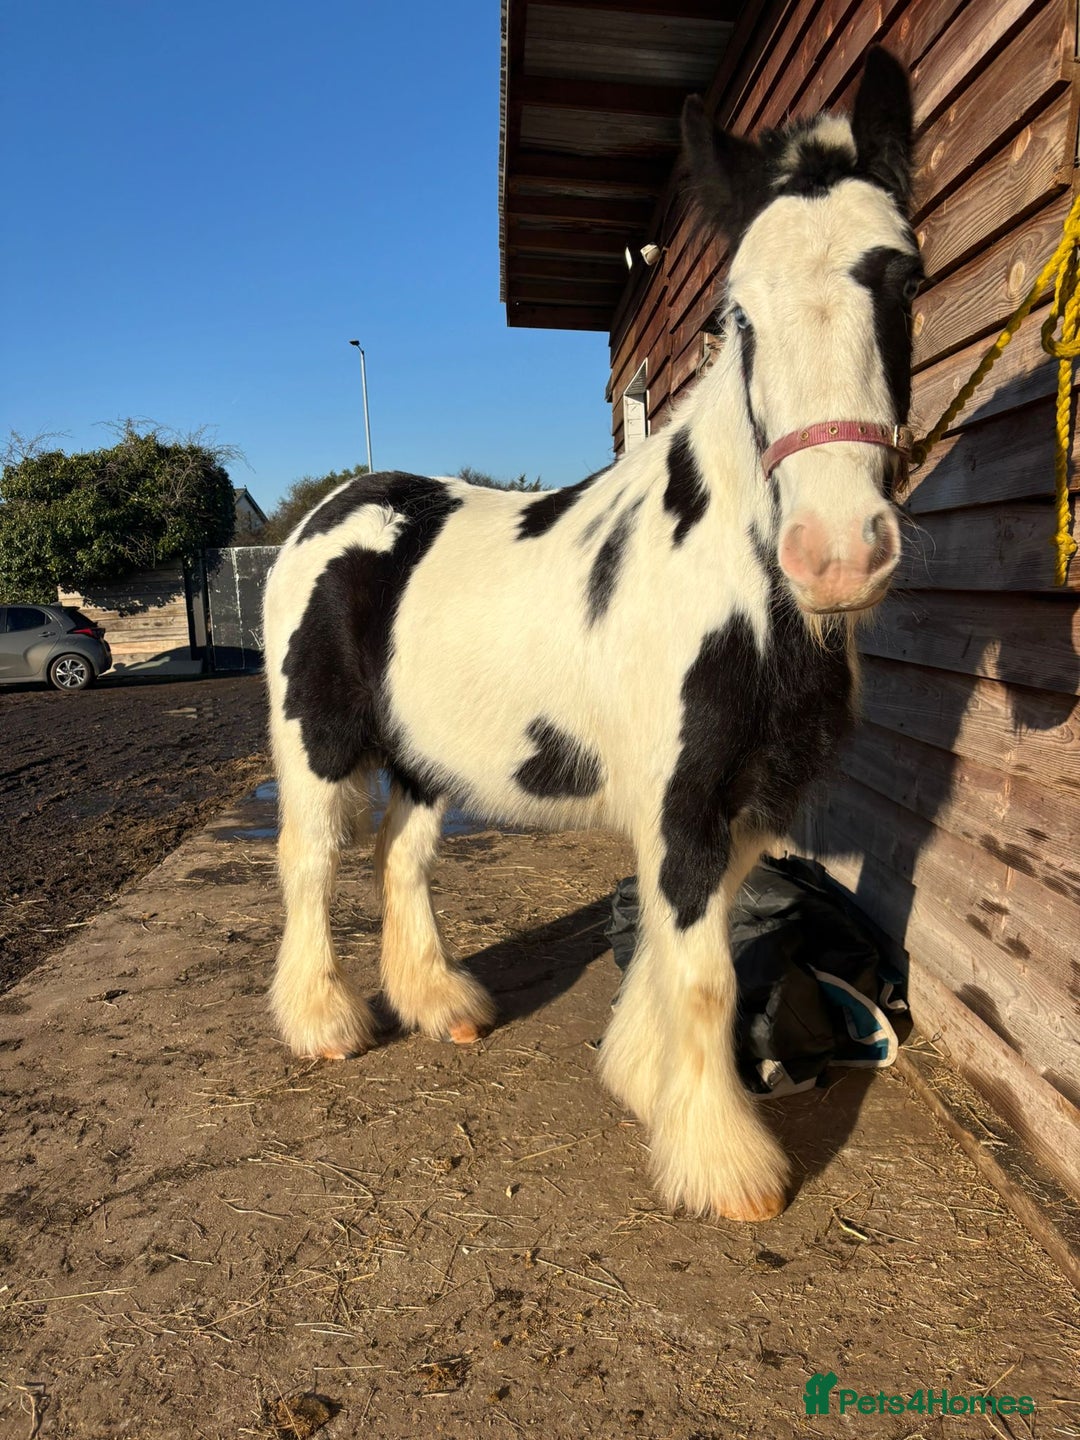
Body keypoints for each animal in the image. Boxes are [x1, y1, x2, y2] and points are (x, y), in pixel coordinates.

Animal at [262, 47, 920, 1222]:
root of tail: (329, 511)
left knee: (400, 859)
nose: (839, 551)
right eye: (739, 314)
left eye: (905, 278)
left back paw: (441, 1004)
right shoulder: (685, 804)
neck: (743, 598)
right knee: (309, 862)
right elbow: (705, 973)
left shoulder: (738, 805)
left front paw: (642, 1077)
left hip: (426, 760)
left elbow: (673, 951)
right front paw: (724, 1164)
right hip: (317, 746)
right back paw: (325, 1025)